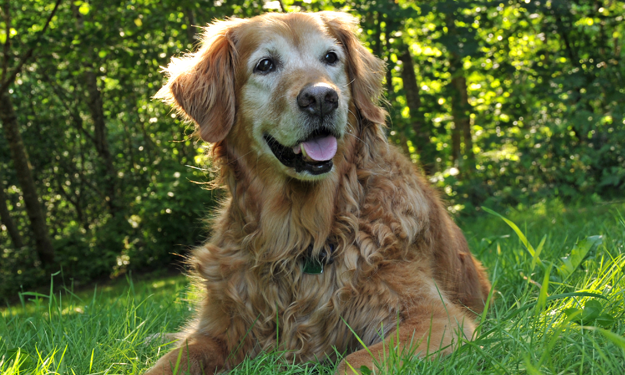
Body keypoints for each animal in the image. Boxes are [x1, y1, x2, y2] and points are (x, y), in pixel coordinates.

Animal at [145, 10, 488, 374]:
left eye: (330, 57)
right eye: (265, 64)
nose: (322, 98)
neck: (301, 231)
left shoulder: (437, 319)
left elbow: (353, 362)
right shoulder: (218, 329)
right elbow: (175, 358)